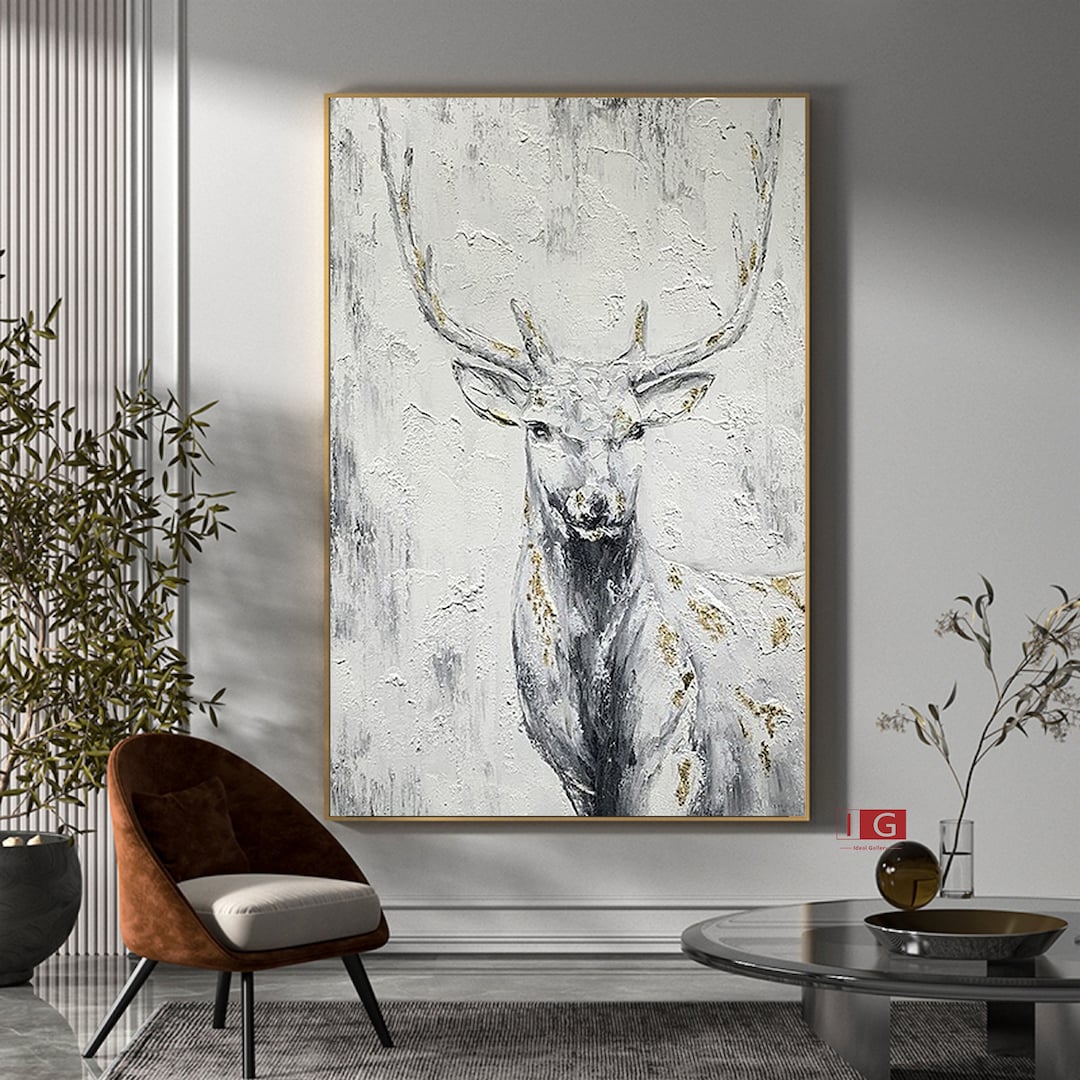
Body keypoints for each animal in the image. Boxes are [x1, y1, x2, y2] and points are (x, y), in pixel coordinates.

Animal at [377, 99, 805, 816]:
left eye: (636, 430)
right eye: (539, 425)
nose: (597, 503)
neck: (599, 727)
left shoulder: (683, 764)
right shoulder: (574, 779)